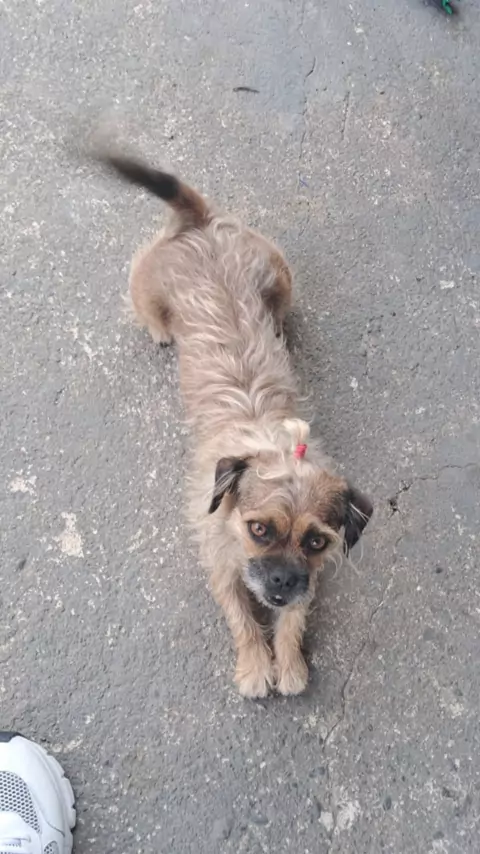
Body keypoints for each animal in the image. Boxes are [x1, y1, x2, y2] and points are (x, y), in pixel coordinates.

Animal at [95, 150, 373, 698]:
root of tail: (199, 223)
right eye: (259, 529)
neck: (269, 440)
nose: (281, 584)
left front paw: (289, 663)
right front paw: (254, 666)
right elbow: (243, 618)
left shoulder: (309, 579)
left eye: (316, 541)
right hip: (146, 287)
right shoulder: (222, 564)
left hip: (282, 275)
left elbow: (293, 619)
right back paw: (161, 330)